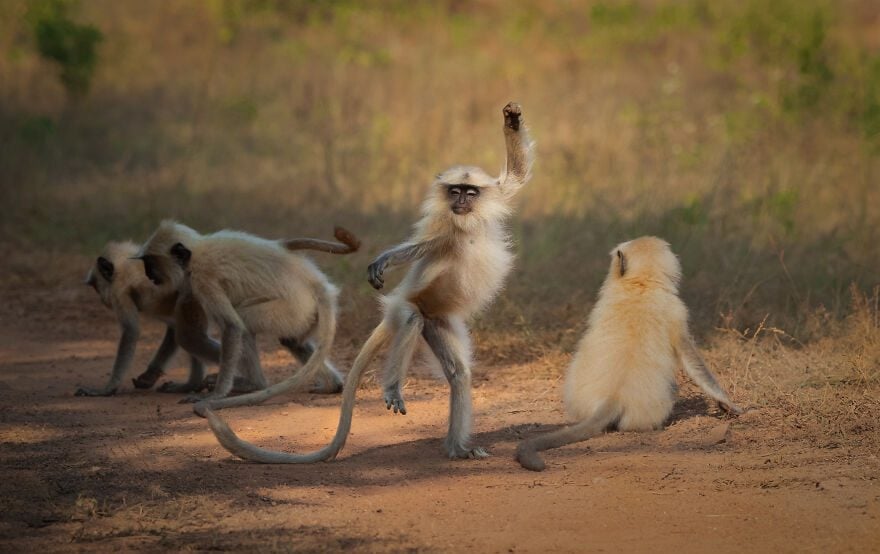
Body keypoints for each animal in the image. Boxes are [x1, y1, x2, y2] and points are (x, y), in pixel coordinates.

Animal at [136, 223, 359, 413]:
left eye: (150, 263)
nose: (148, 275)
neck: (197, 250)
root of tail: (315, 283)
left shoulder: (203, 278)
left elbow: (232, 326)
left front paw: (215, 396)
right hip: (306, 313)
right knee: (291, 340)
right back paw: (332, 385)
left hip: (290, 308)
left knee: (243, 322)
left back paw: (254, 384)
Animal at [202, 101, 535, 462]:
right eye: (455, 192)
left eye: (470, 193)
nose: (460, 201)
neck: (466, 222)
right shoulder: (443, 228)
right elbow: (419, 247)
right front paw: (384, 260)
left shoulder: (486, 201)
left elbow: (516, 177)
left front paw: (512, 119)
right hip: (409, 306)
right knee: (411, 318)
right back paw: (393, 388)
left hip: (439, 321)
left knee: (459, 374)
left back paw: (457, 449)